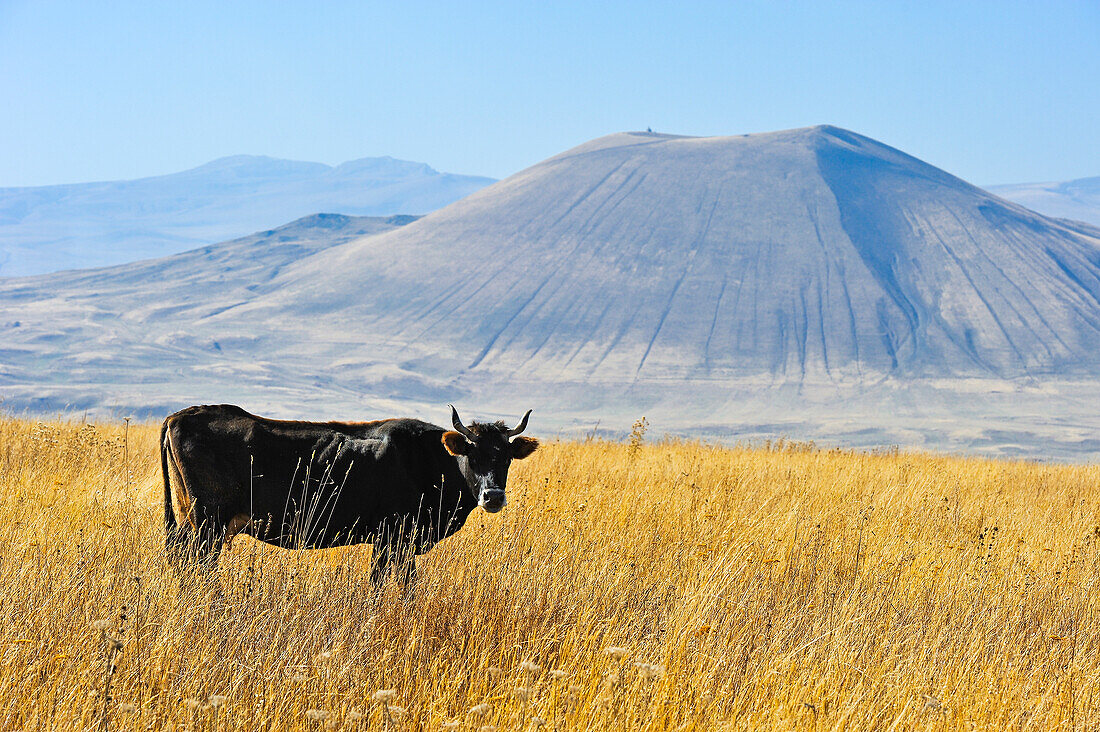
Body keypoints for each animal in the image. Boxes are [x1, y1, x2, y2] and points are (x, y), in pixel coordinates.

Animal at [160, 402, 539, 581]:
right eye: (472, 455)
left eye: (505, 457)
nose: (493, 496)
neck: (426, 459)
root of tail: (181, 415)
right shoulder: (392, 537)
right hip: (207, 523)